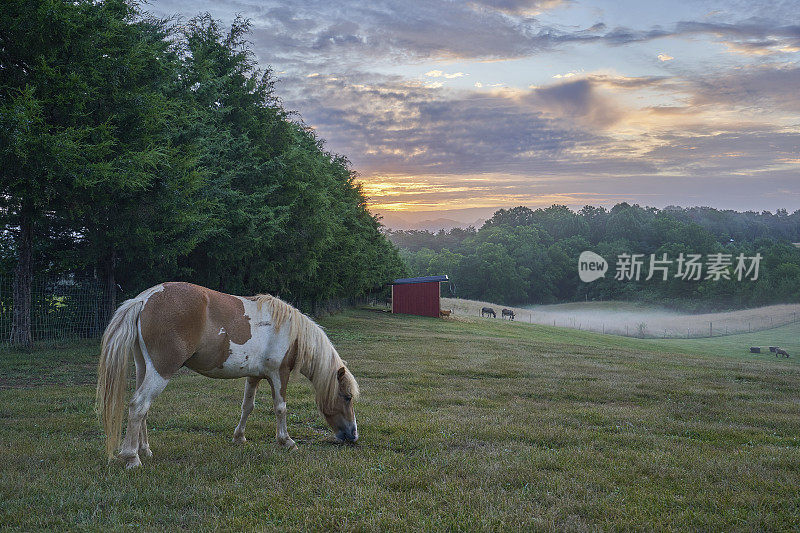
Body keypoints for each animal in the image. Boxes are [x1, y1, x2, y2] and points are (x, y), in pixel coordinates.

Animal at [97, 280, 360, 468]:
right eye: (346, 397)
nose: (353, 435)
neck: (288, 330)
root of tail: (143, 299)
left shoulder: (254, 376)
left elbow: (247, 407)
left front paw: (239, 438)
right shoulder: (279, 374)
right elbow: (281, 408)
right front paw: (287, 442)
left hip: (145, 368)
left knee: (143, 409)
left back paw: (145, 450)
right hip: (162, 371)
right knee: (138, 405)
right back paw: (132, 458)